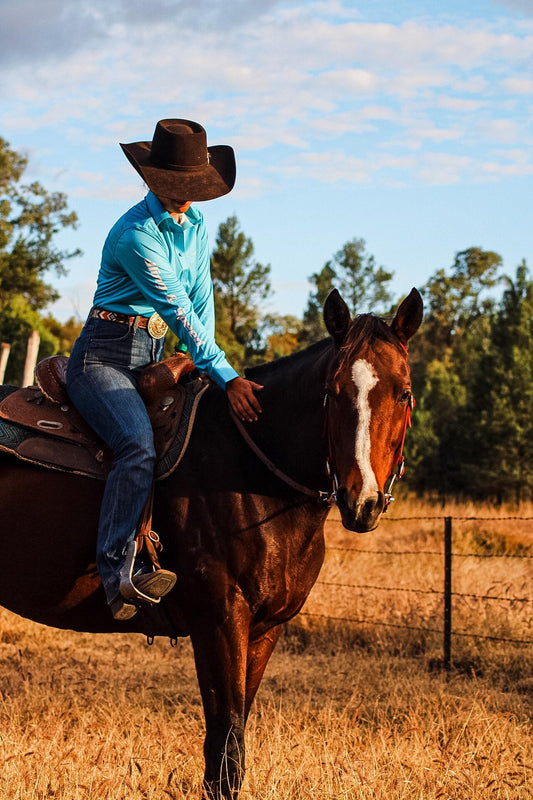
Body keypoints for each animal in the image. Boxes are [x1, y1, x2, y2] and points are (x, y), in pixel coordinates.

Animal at [0, 290, 420, 800]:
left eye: (403, 392)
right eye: (334, 391)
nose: (363, 501)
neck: (252, 467)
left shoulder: (265, 628)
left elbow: (232, 735)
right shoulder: (219, 620)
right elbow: (226, 739)